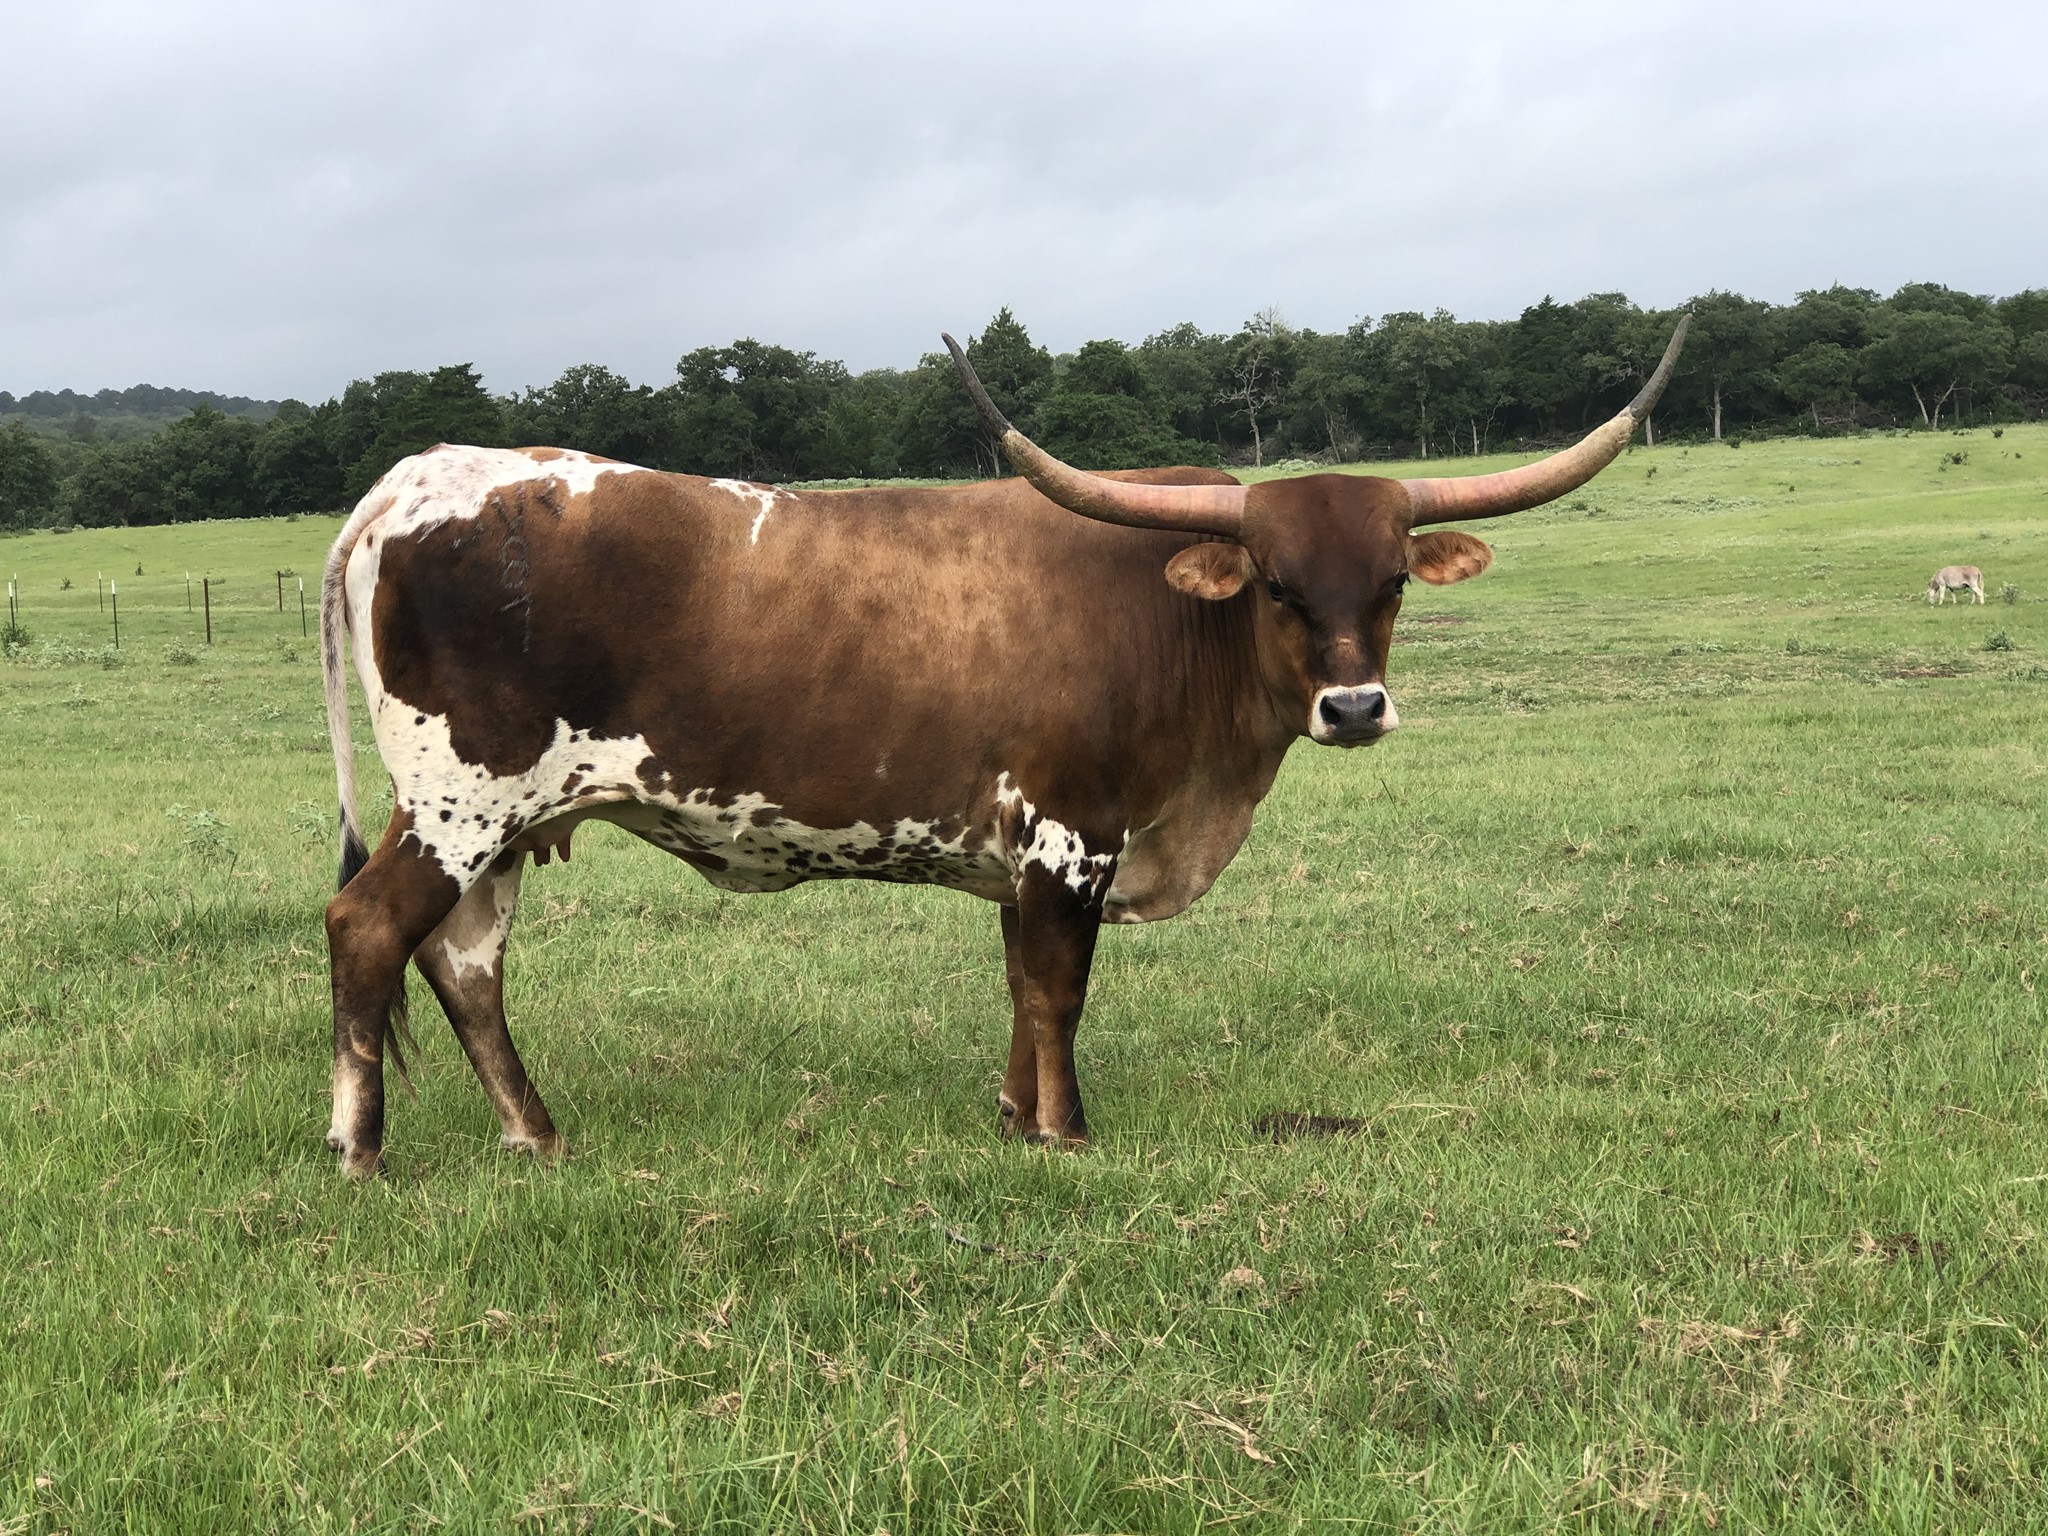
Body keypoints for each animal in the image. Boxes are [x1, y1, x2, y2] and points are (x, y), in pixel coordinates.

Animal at [317, 318, 1689, 1175]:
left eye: (1393, 579)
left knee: (467, 964)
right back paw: (361, 1151)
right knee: (372, 930)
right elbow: (1058, 988)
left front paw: (1013, 1113)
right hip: (462, 799)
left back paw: (537, 1136)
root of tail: (412, 478)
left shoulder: (1019, 852)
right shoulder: (1073, 833)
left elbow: (1018, 988)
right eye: (1277, 586)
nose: (1353, 708)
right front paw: (1065, 1134)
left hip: (496, 819)